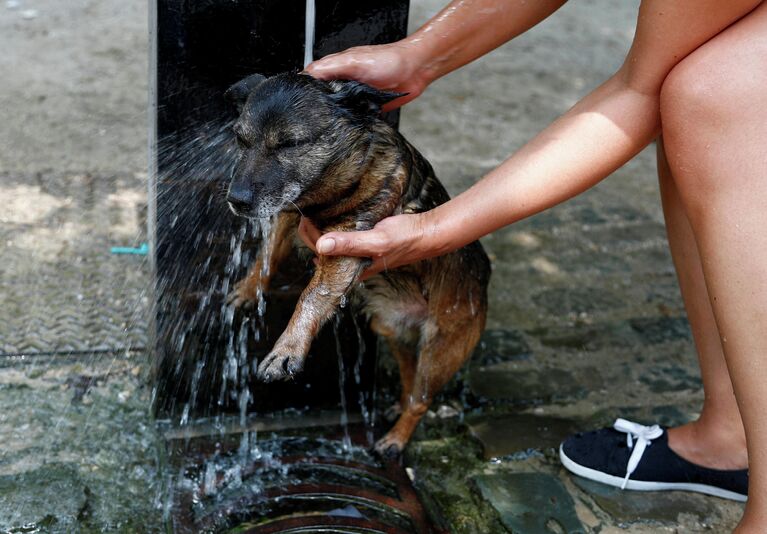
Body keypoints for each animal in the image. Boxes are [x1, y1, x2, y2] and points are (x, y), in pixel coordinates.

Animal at [225, 70, 488, 456]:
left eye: (289, 144)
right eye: (240, 139)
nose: (237, 200)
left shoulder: (347, 242)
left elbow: (312, 295)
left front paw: (287, 349)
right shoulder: (289, 214)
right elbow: (267, 255)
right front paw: (248, 289)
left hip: (441, 351)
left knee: (421, 399)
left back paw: (395, 439)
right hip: (393, 333)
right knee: (408, 377)